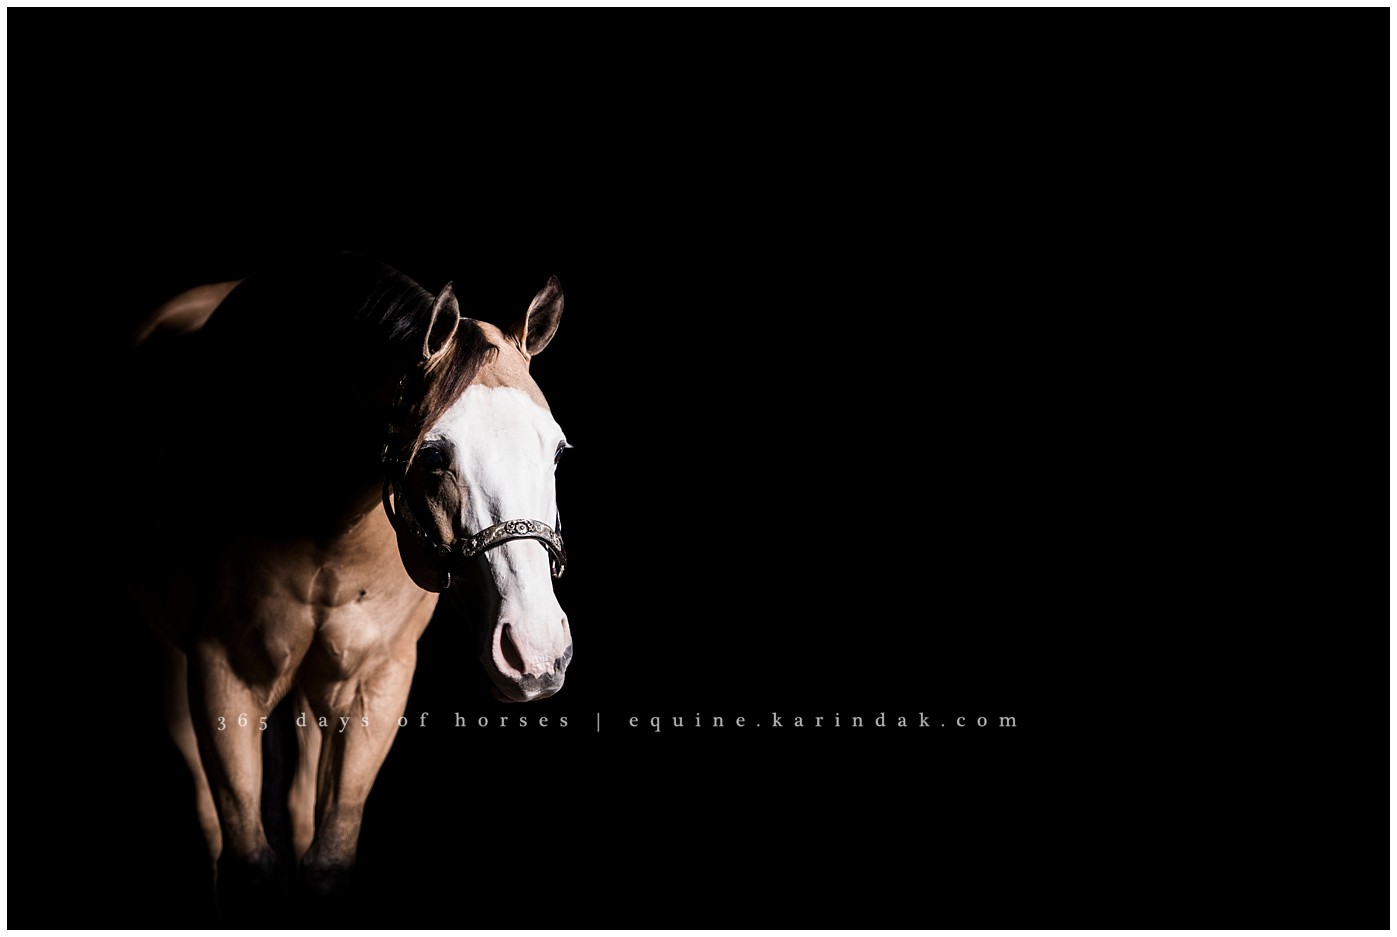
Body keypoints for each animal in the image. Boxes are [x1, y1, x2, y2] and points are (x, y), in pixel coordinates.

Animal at [126, 253, 573, 916]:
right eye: (433, 456)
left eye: (558, 452)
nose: (535, 651)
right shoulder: (221, 677)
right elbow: (247, 861)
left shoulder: (376, 682)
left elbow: (328, 856)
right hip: (173, 667)